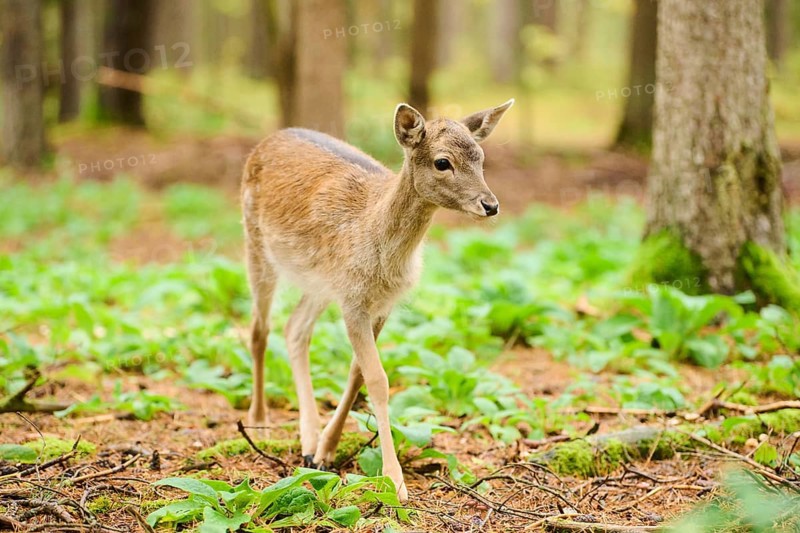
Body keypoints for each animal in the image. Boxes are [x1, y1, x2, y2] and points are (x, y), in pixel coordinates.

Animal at [241, 99, 514, 501]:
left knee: (294, 329)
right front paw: (395, 483)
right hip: (256, 244)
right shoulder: (353, 300)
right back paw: (259, 422)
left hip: (319, 281)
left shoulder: (380, 303)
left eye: (480, 157)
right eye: (442, 162)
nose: (491, 205)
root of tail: (267, 140)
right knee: (259, 329)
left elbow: (357, 374)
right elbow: (378, 380)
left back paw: (307, 440)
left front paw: (325, 451)